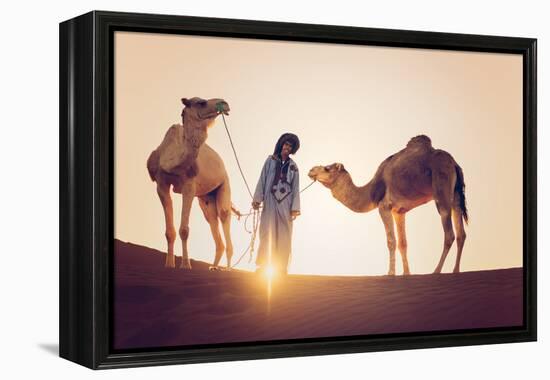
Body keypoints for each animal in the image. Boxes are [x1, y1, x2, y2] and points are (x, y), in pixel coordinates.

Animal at [146, 98, 234, 270]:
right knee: (212, 218)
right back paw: (213, 267)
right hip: (206, 197)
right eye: (201, 102)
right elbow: (170, 232)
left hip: (224, 183)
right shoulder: (161, 184)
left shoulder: (189, 185)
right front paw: (169, 264)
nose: (224, 103)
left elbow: (184, 230)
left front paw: (186, 265)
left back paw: (226, 268)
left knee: (224, 214)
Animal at [310, 135, 470, 274]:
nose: (311, 170)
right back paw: (456, 271)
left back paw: (436, 271)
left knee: (449, 234)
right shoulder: (399, 211)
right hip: (456, 195)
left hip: (441, 188)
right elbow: (402, 243)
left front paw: (390, 273)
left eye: (327, 168)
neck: (371, 191)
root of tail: (454, 164)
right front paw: (406, 273)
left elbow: (391, 241)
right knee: (461, 233)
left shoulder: (384, 206)